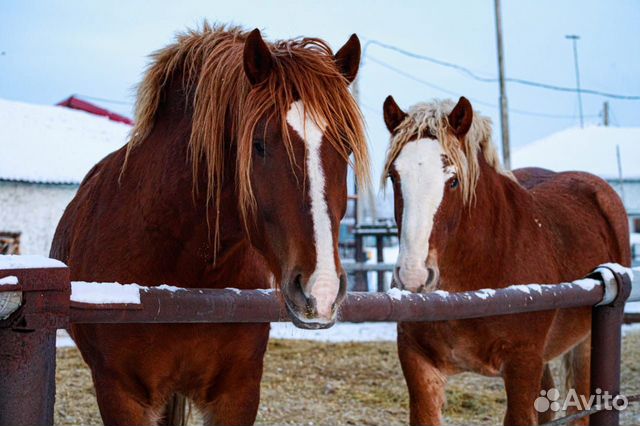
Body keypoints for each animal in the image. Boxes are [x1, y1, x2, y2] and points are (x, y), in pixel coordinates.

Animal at [382, 96, 628, 426]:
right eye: (395, 176)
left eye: (453, 181)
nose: (413, 276)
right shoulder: (417, 362)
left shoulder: (522, 363)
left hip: (585, 345)